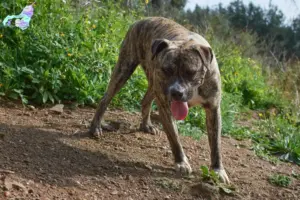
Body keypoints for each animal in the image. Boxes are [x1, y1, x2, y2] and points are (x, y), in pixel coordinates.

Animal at [88, 16, 230, 183]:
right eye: (167, 70)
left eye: (191, 72)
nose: (176, 92)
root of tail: (141, 20)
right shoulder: (165, 107)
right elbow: (174, 139)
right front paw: (181, 162)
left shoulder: (213, 109)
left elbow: (216, 145)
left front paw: (217, 170)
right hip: (125, 69)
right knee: (105, 98)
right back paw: (96, 127)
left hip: (153, 84)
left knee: (145, 100)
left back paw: (146, 125)